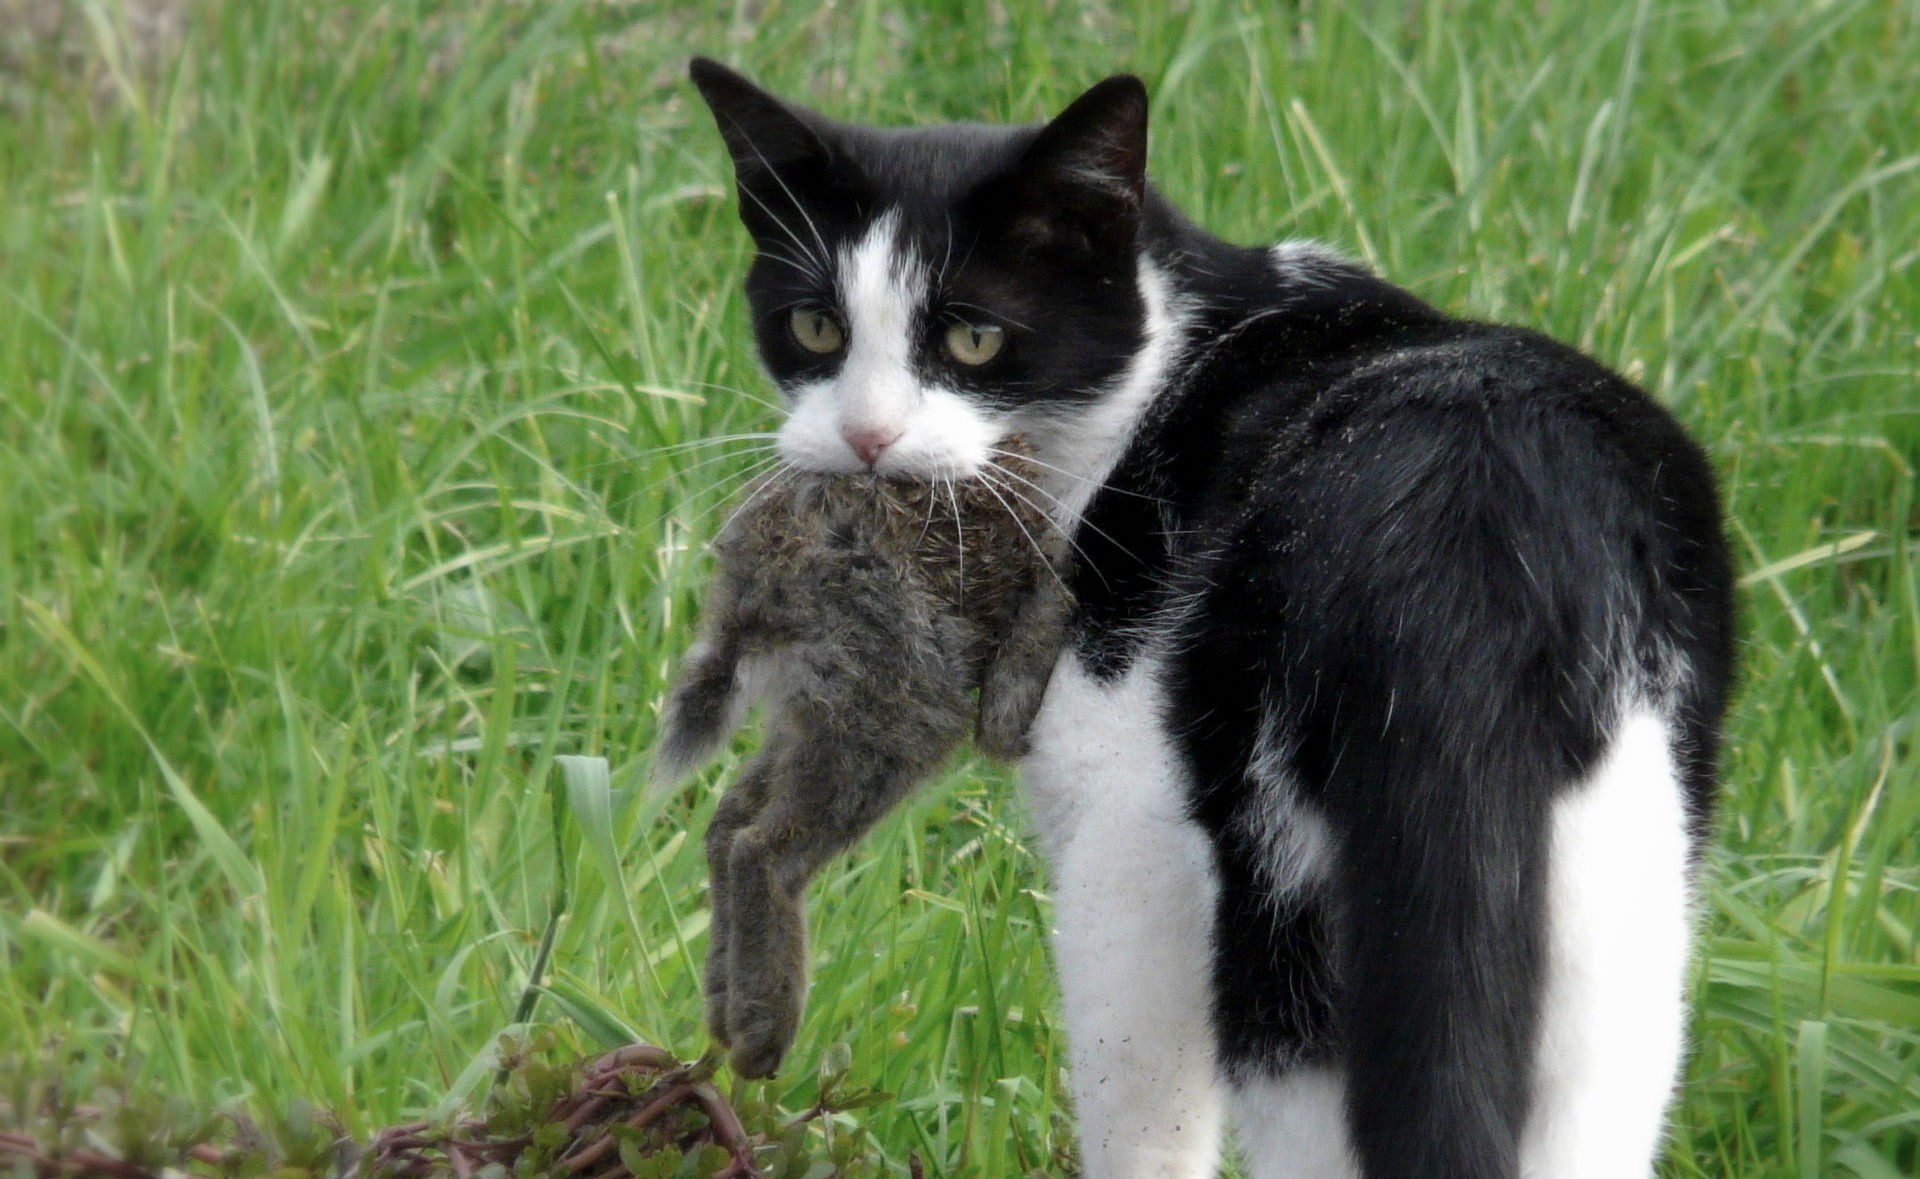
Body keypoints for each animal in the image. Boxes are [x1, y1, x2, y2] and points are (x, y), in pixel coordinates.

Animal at [656, 441, 1075, 1082]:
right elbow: (1006, 721)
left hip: (820, 702)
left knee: (729, 822)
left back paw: (726, 1012)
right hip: (898, 698)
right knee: (764, 850)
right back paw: (764, 1035)